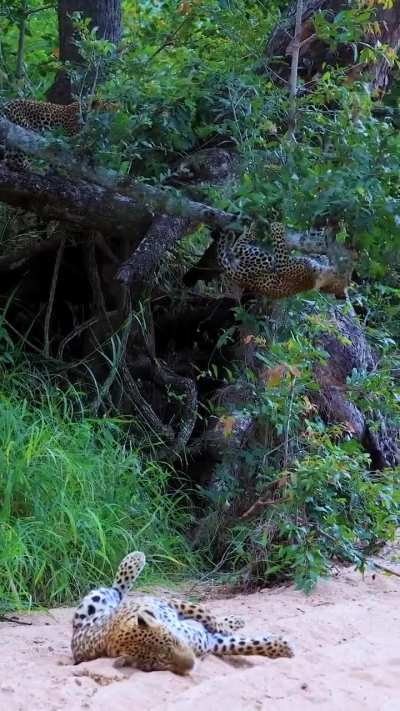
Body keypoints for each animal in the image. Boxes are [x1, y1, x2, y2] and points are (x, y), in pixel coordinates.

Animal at [71, 550, 294, 674]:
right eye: (157, 665)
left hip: (95, 600)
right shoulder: (210, 643)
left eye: (173, 642)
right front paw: (282, 648)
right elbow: (243, 644)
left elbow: (204, 612)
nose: (191, 664)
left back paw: (135, 558)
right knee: (116, 590)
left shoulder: (169, 602)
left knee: (116, 588)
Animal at [217, 221, 348, 300]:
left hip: (263, 259)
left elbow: (280, 243)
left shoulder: (283, 265)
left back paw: (253, 228)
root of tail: (237, 276)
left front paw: (277, 226)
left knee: (238, 247)